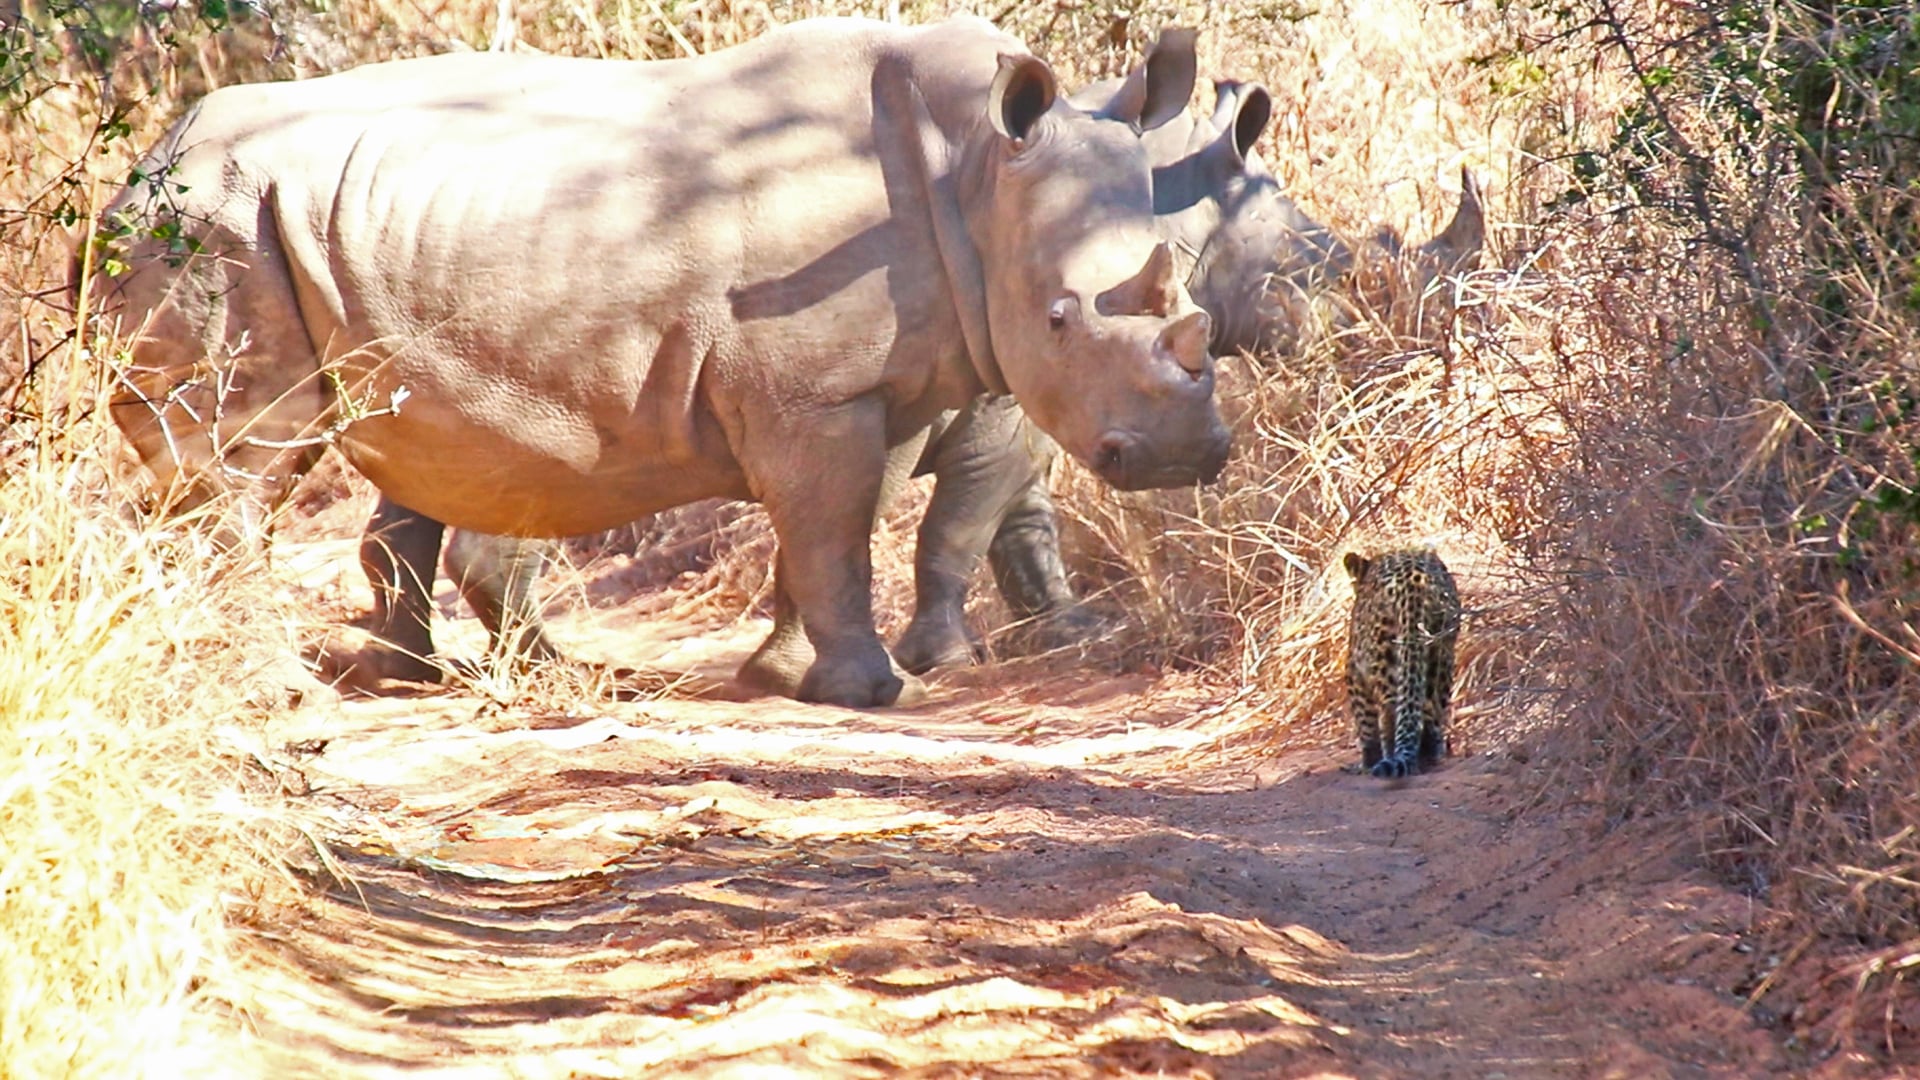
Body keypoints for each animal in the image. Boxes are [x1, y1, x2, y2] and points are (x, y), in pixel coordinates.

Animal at [93, 15, 1232, 708]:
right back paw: (275, 685)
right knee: (247, 454)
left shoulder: (873, 383)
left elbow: (827, 532)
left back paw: (436, 678)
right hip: (211, 225)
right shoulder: (817, 390)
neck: (978, 171)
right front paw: (875, 695)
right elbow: (832, 530)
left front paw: (780, 676)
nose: (1188, 457)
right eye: (1059, 319)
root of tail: (142, 162)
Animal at [348, 53, 1486, 689]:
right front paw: (941, 656)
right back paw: (524, 666)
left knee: (429, 449)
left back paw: (412, 668)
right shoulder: (995, 391)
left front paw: (1064, 626)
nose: (1400, 354)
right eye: (1329, 276)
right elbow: (961, 516)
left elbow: (1011, 519)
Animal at [1343, 547, 1460, 779]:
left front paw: (1367, 762)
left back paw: (1391, 758)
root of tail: (1415, 581)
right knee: (1430, 708)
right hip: (1440, 651)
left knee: (1391, 707)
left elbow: (1365, 722)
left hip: (1383, 654)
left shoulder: (1354, 672)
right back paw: (1430, 754)